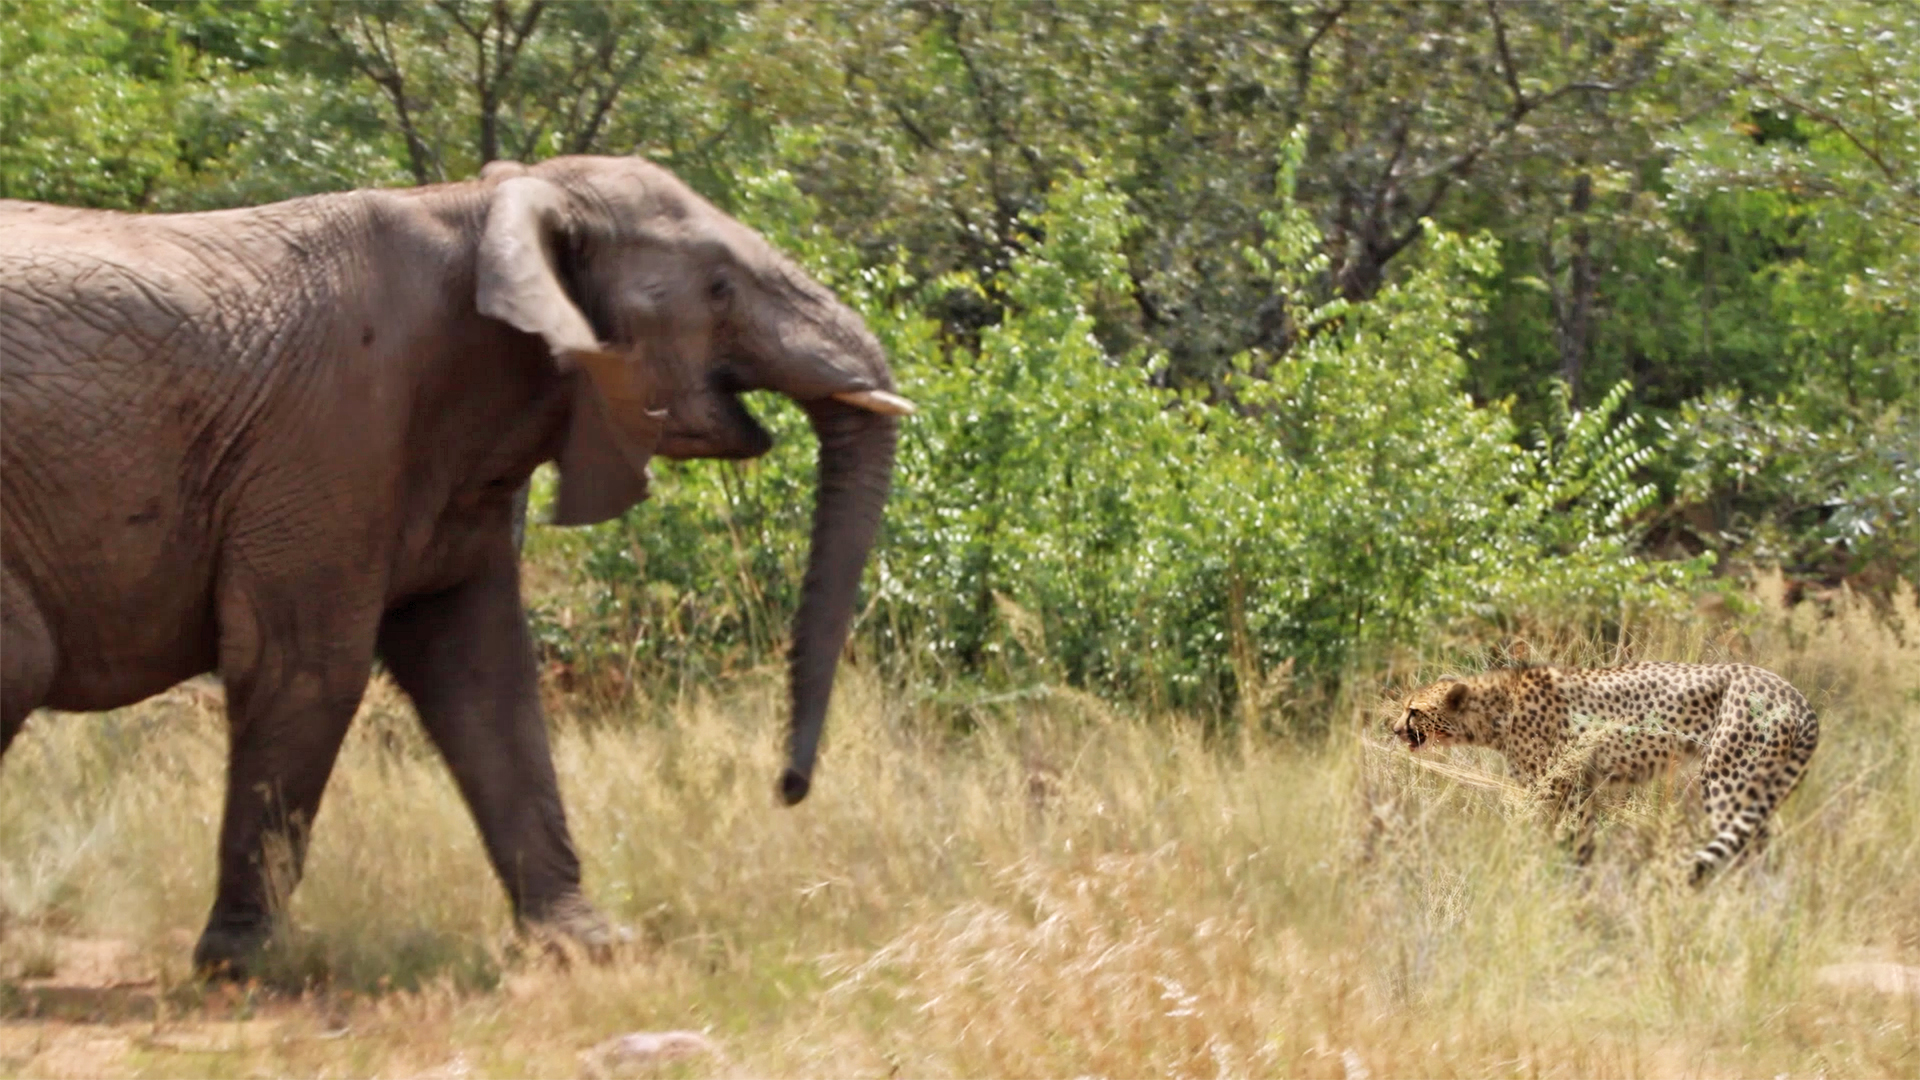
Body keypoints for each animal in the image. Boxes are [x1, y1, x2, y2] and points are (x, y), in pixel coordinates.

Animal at [0, 155, 913, 973]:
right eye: (720, 288)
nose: (786, 788)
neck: (483, 209)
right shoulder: (330, 438)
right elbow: (305, 665)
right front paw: (244, 964)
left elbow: (483, 670)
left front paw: (589, 946)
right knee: (26, 662)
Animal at [1392, 662, 1819, 884]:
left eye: (1414, 711)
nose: (1394, 729)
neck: (1496, 712)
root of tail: (1794, 693)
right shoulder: (1578, 788)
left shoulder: (1564, 788)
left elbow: (1564, 842)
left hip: (1728, 780)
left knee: (1749, 847)